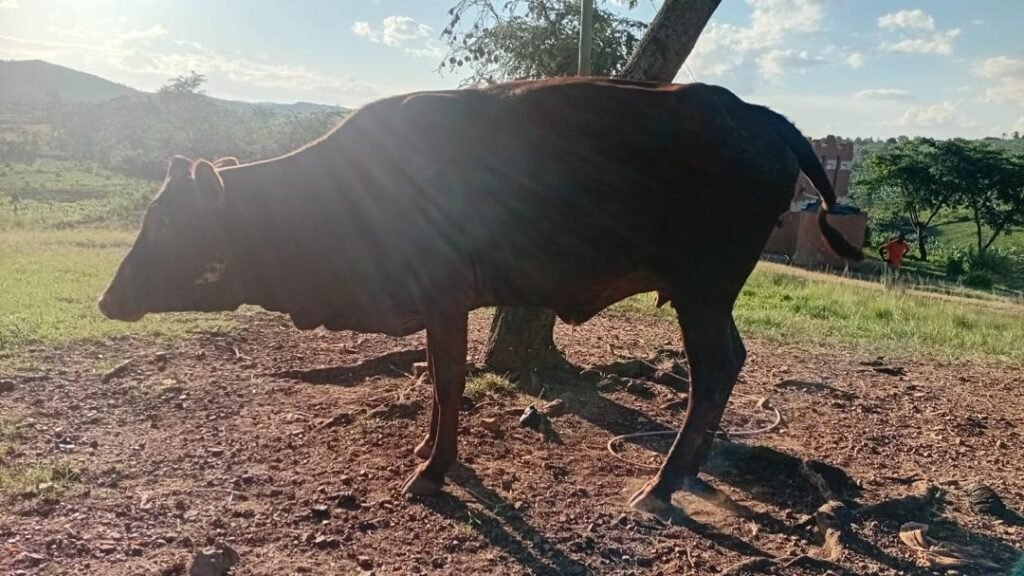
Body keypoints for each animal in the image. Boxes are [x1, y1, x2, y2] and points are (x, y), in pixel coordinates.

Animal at [98, 77, 862, 515]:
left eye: (166, 223)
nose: (107, 300)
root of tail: (757, 114)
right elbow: (438, 382)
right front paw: (425, 453)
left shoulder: (444, 300)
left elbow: (446, 380)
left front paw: (434, 471)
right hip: (707, 297)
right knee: (727, 366)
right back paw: (692, 468)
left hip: (702, 292)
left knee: (715, 370)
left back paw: (661, 485)